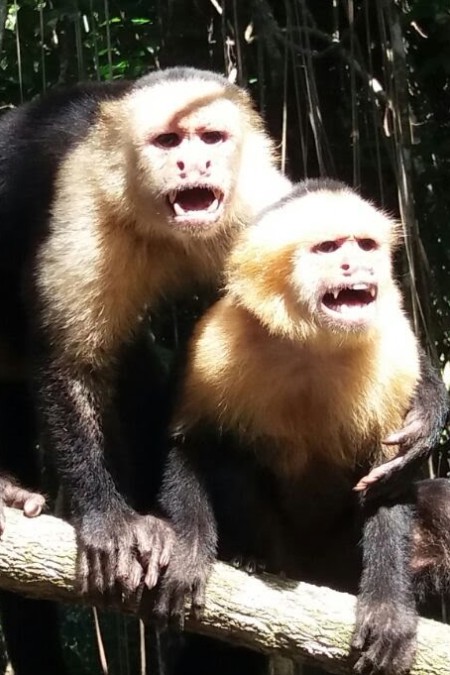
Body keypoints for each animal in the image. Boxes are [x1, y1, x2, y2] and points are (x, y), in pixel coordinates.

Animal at [0, 67, 292, 672]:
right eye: (167, 141)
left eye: (210, 138)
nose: (193, 165)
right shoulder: (85, 194)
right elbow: (72, 364)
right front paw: (105, 518)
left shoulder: (256, 196)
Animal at [156, 178, 450, 675]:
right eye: (328, 248)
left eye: (365, 245)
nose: (357, 265)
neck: (315, 343)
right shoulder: (216, 340)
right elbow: (190, 442)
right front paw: (190, 553)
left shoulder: (395, 350)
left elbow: (388, 480)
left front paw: (388, 610)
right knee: (227, 452)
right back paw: (251, 558)